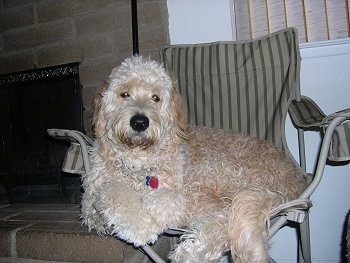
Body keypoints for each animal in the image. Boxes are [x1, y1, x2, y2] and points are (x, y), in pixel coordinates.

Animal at [81, 56, 306, 262]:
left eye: (155, 97)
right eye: (124, 94)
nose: (139, 122)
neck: (137, 165)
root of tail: (293, 179)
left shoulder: (174, 190)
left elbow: (163, 204)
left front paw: (144, 222)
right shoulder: (93, 193)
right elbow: (110, 195)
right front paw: (136, 223)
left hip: (211, 175)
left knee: (221, 219)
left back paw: (187, 254)